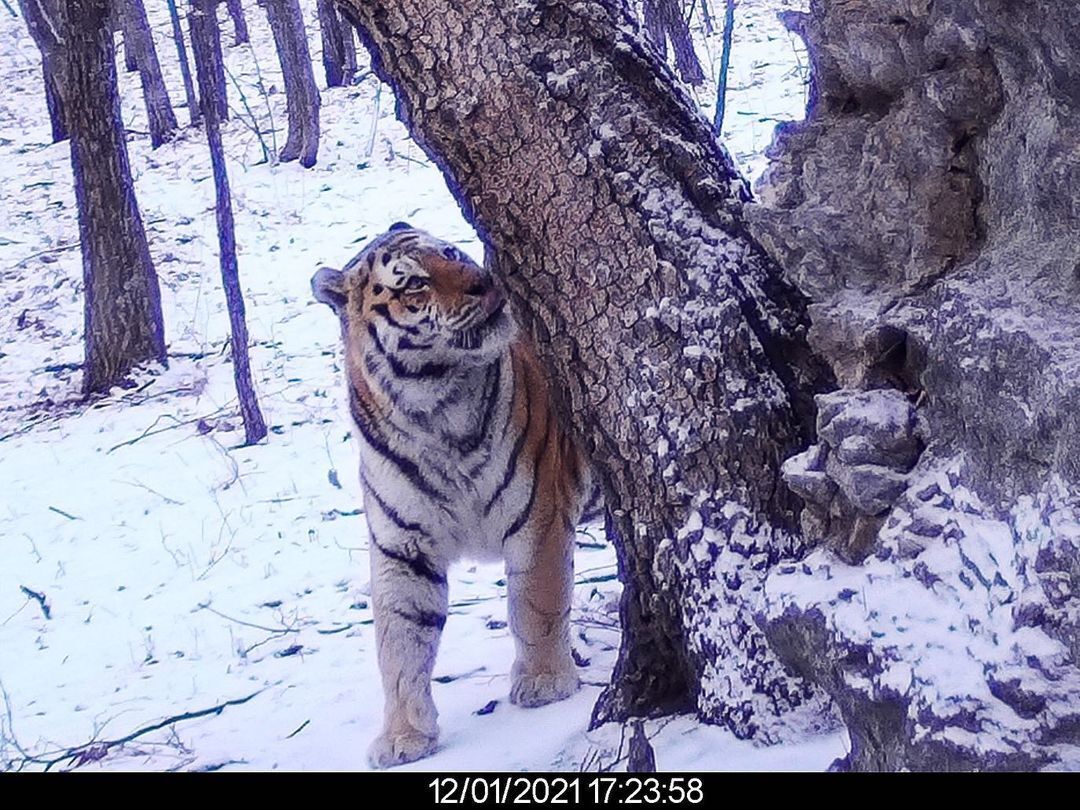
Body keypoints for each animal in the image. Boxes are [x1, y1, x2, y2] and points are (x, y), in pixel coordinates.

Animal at [313, 225, 604, 768]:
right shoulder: (403, 548)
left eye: (452, 253)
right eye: (413, 283)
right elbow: (399, 643)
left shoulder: (538, 516)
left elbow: (535, 602)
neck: (433, 411)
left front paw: (545, 683)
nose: (485, 282)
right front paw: (404, 737)